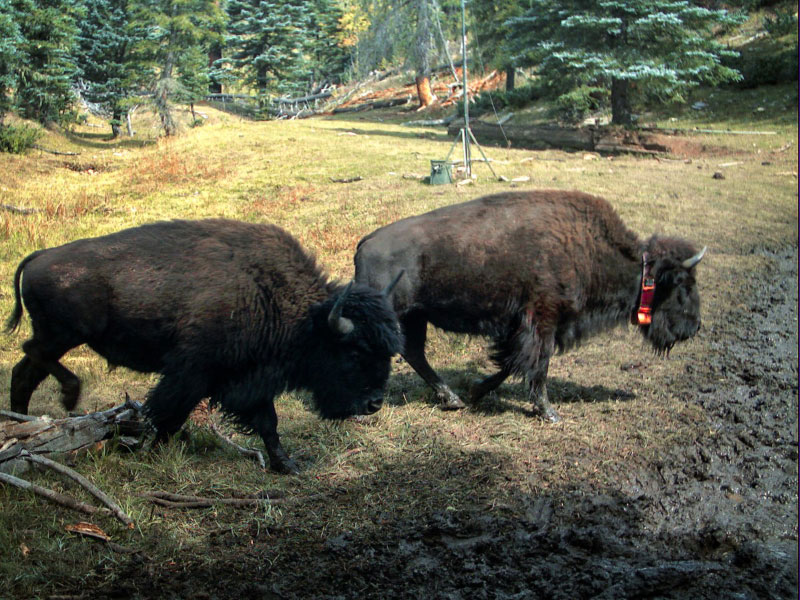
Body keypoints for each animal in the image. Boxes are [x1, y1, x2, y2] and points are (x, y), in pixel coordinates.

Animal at [4, 219, 406, 474]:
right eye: (354, 351)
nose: (374, 404)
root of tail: (40, 255)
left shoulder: (249, 379)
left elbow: (268, 423)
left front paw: (287, 465)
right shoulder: (191, 373)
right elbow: (167, 414)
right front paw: (149, 452)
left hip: (59, 337)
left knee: (24, 373)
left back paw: (21, 425)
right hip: (63, 334)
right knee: (31, 354)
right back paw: (67, 397)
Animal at [354, 189, 704, 422]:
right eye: (682, 284)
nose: (694, 327)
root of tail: (367, 241)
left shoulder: (523, 326)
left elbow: (512, 362)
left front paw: (477, 391)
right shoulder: (542, 320)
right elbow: (537, 363)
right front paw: (549, 412)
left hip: (415, 317)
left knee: (414, 353)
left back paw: (452, 399)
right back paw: (362, 411)